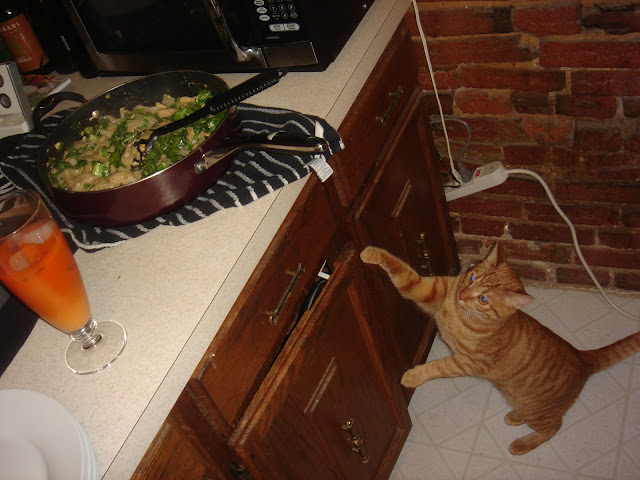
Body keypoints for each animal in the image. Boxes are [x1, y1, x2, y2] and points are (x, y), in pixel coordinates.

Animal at [360, 242, 640, 455]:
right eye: (472, 277)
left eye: (484, 299)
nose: (462, 295)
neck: (460, 313)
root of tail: (582, 356)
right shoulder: (429, 290)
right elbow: (398, 267)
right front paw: (371, 253)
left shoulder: (466, 362)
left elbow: (435, 367)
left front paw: (412, 376)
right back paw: (515, 417)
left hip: (536, 409)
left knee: (553, 427)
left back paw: (522, 443)